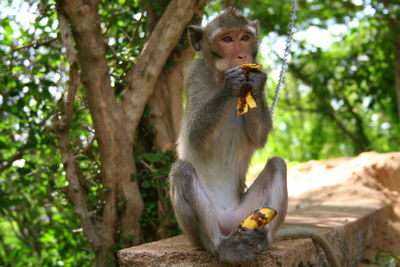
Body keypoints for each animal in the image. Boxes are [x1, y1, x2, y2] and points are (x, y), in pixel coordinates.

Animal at [169, 7, 340, 266]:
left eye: (245, 37)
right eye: (227, 39)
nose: (241, 56)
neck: (218, 77)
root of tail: (229, 223)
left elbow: (258, 137)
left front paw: (257, 82)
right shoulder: (195, 76)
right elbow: (194, 137)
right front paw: (231, 85)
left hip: (245, 212)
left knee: (277, 165)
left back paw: (261, 239)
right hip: (201, 230)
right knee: (183, 171)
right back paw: (220, 247)